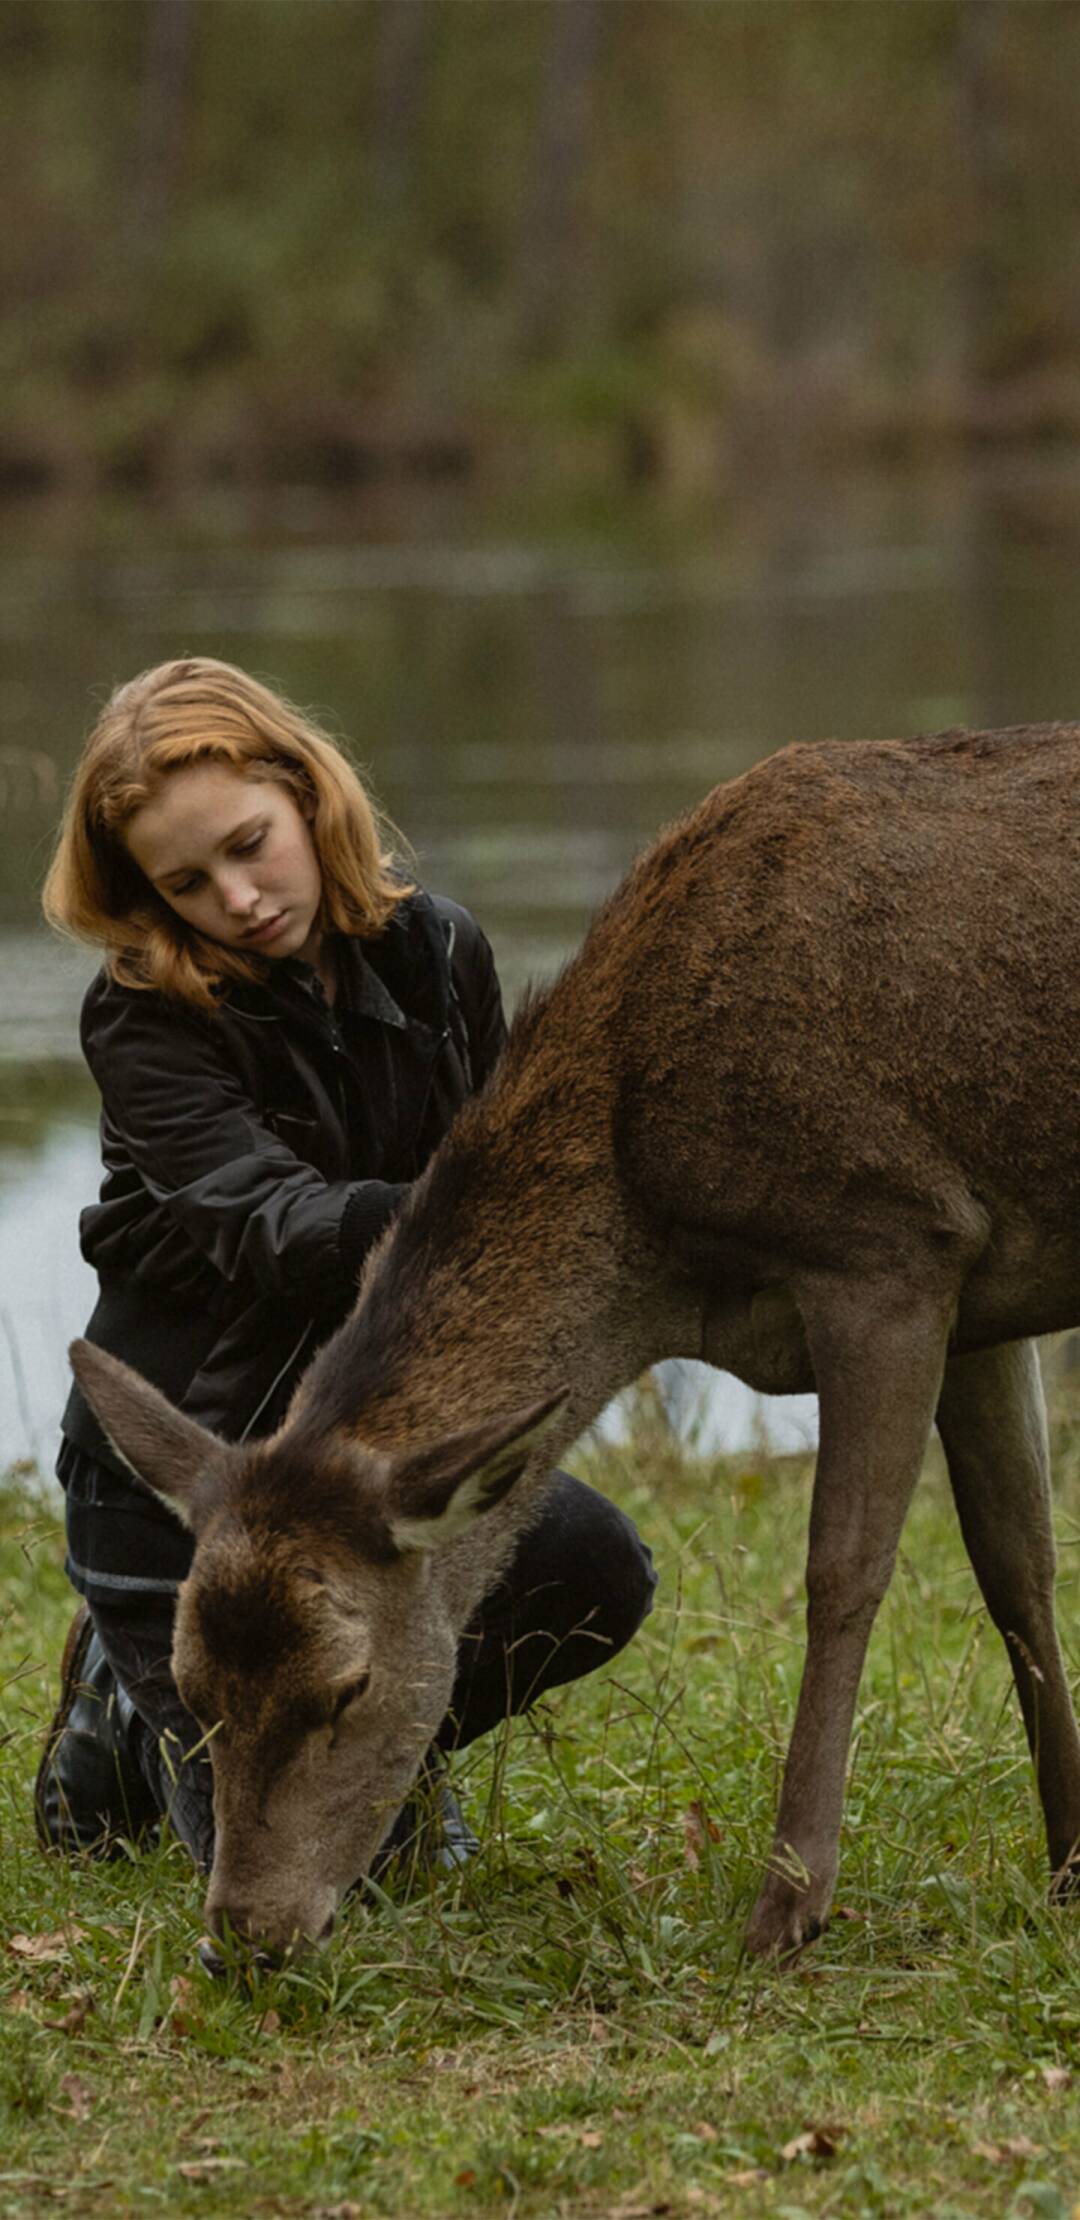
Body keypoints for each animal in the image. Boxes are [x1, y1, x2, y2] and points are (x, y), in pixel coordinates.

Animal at [71, 723, 1080, 1962]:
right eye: (194, 1687)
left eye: (347, 1687)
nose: (246, 1935)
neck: (661, 1253)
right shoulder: (979, 1285)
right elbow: (1017, 1564)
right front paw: (1069, 1863)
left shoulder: (891, 1241)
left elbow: (845, 1572)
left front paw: (786, 1908)